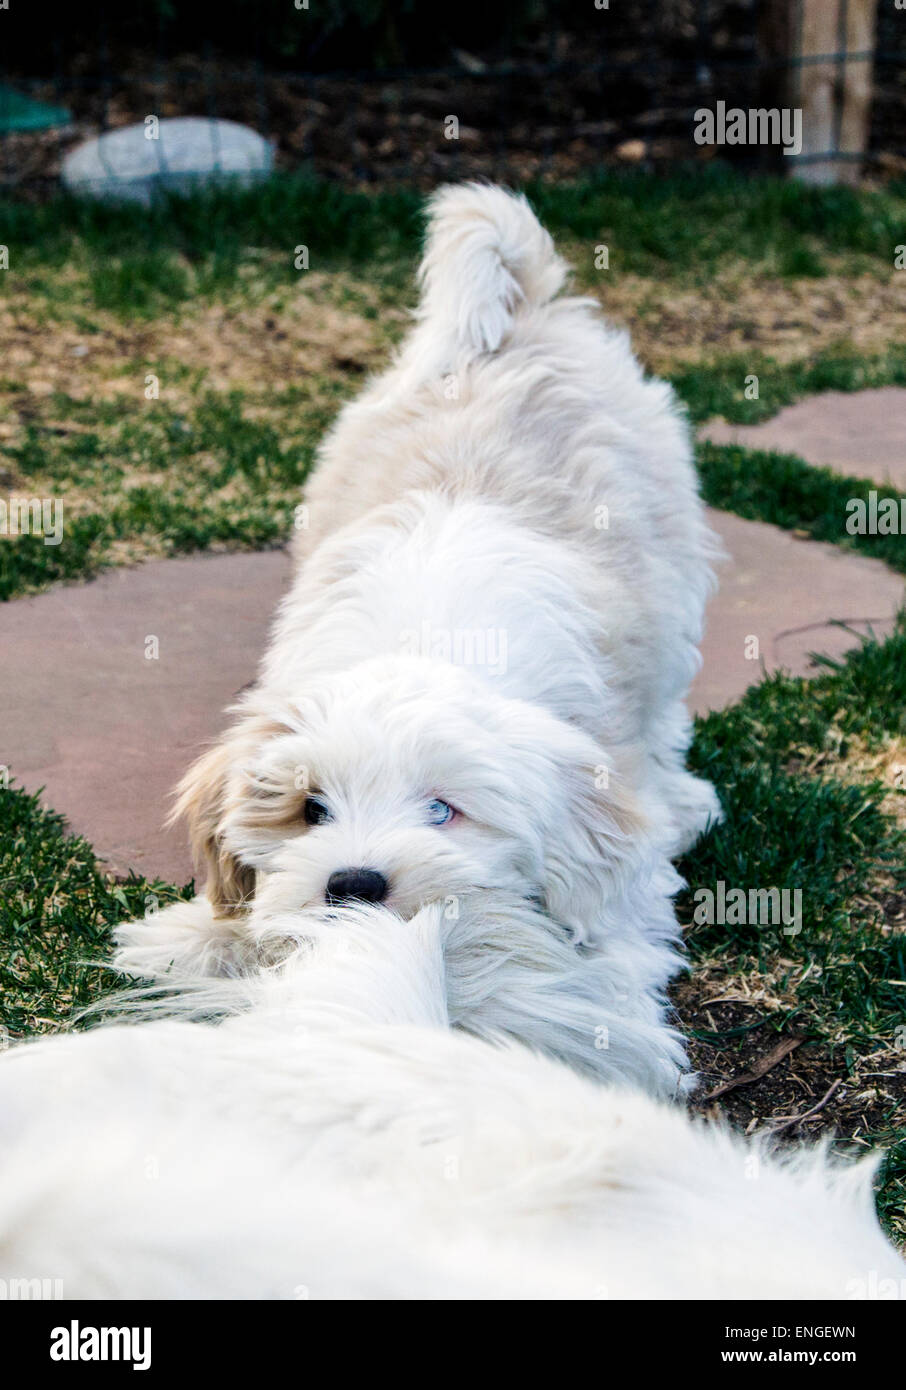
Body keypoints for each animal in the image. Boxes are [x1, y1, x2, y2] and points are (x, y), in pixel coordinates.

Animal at [115, 182, 722, 1095]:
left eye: (443, 811)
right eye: (310, 809)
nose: (355, 883)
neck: (424, 640)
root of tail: (516, 320)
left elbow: (610, 919)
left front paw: (610, 1021)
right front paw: (200, 936)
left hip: (671, 576)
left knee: (661, 710)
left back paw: (681, 799)